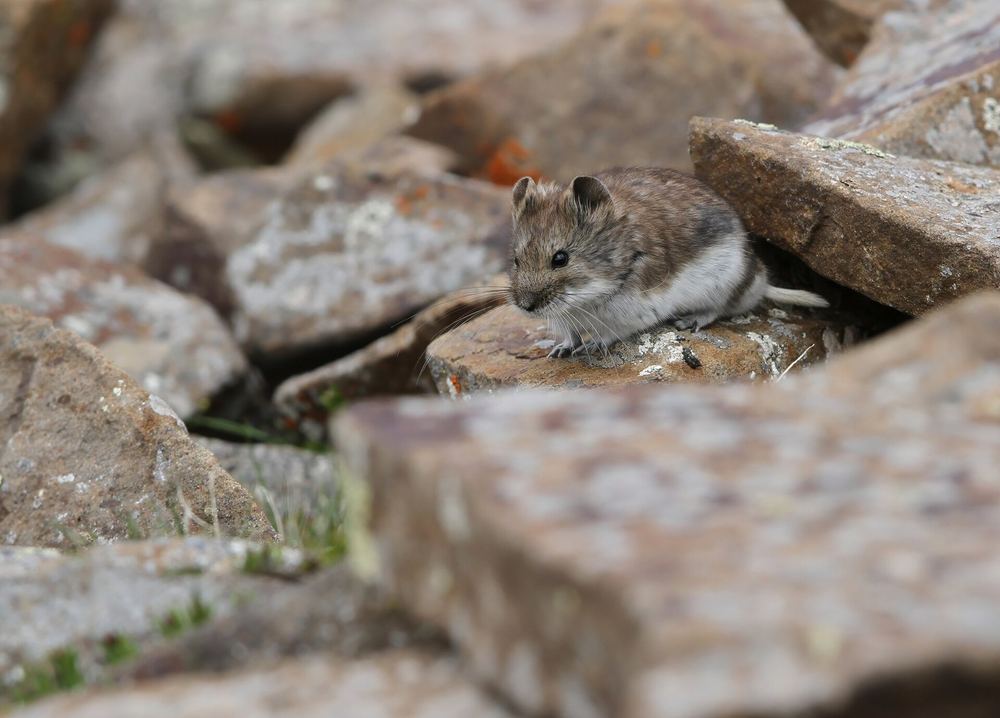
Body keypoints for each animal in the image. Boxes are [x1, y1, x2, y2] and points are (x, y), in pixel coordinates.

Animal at [507, 167, 828, 358]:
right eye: (516, 259)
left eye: (560, 258)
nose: (526, 307)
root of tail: (758, 280)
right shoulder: (565, 320)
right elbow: (571, 335)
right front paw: (560, 351)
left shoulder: (635, 313)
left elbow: (610, 334)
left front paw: (593, 345)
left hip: (724, 282)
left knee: (718, 309)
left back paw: (690, 320)